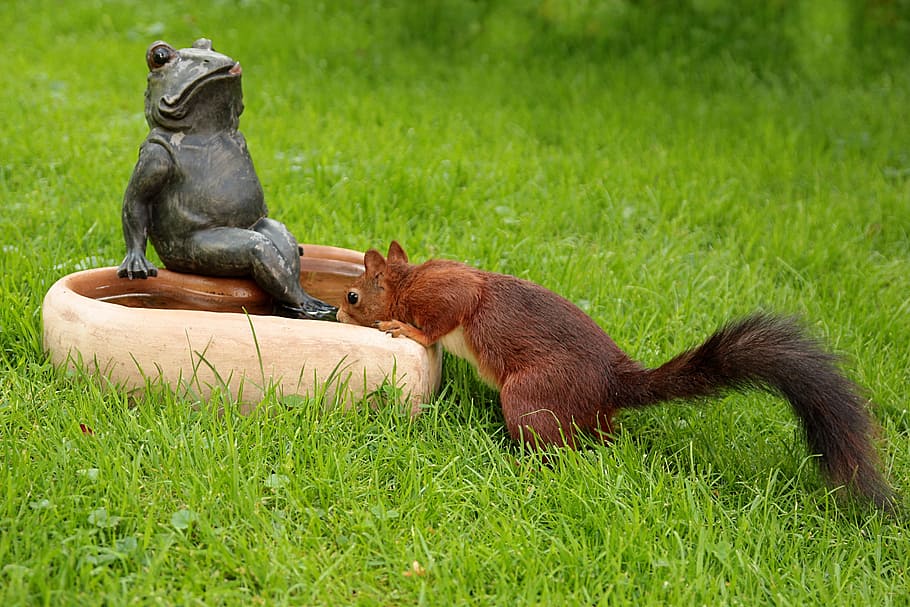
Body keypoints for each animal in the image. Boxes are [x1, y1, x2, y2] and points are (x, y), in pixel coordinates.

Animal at [337, 241, 896, 511]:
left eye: (353, 295)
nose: (338, 313)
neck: (409, 280)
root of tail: (613, 384)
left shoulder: (447, 293)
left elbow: (438, 320)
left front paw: (401, 326)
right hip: (583, 414)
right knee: (597, 439)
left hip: (528, 396)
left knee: (556, 447)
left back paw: (520, 463)